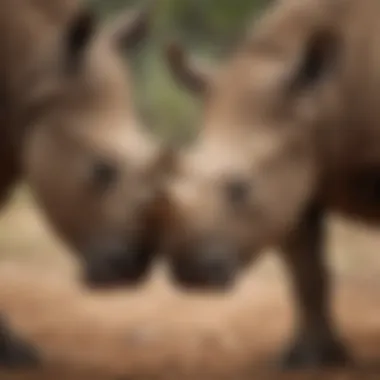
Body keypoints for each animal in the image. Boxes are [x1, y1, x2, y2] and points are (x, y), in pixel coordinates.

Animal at [163, 0, 380, 372]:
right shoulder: (296, 176)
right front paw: (308, 360)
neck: (321, 104)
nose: (190, 272)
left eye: (241, 189)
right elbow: (306, 273)